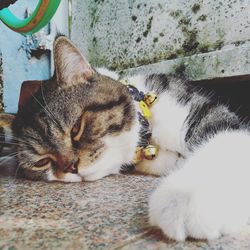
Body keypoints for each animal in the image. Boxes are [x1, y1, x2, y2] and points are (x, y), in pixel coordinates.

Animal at [2, 36, 250, 241]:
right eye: (42, 161)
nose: (70, 167)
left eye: (76, 128)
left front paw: (185, 198)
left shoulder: (202, 111)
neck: (149, 141)